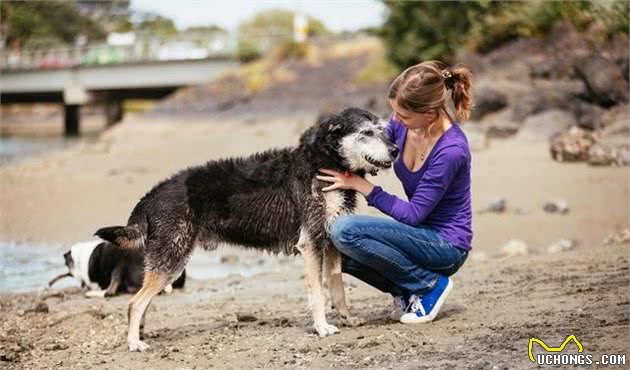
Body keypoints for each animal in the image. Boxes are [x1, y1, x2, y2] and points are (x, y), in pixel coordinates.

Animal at [95, 107, 398, 352]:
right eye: (366, 132)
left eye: (383, 129)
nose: (395, 150)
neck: (324, 162)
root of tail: (150, 196)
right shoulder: (311, 242)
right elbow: (318, 293)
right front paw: (322, 327)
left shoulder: (331, 240)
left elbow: (337, 288)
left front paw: (348, 318)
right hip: (172, 257)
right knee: (135, 303)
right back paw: (134, 343)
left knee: (141, 302)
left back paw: (140, 334)